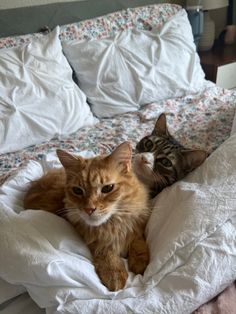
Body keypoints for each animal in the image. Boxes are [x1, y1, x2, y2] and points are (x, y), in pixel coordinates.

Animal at [24, 144, 149, 290]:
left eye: (107, 188)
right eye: (77, 191)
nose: (89, 209)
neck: (112, 224)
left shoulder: (137, 225)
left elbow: (137, 241)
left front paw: (139, 262)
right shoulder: (94, 241)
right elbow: (106, 253)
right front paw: (114, 274)